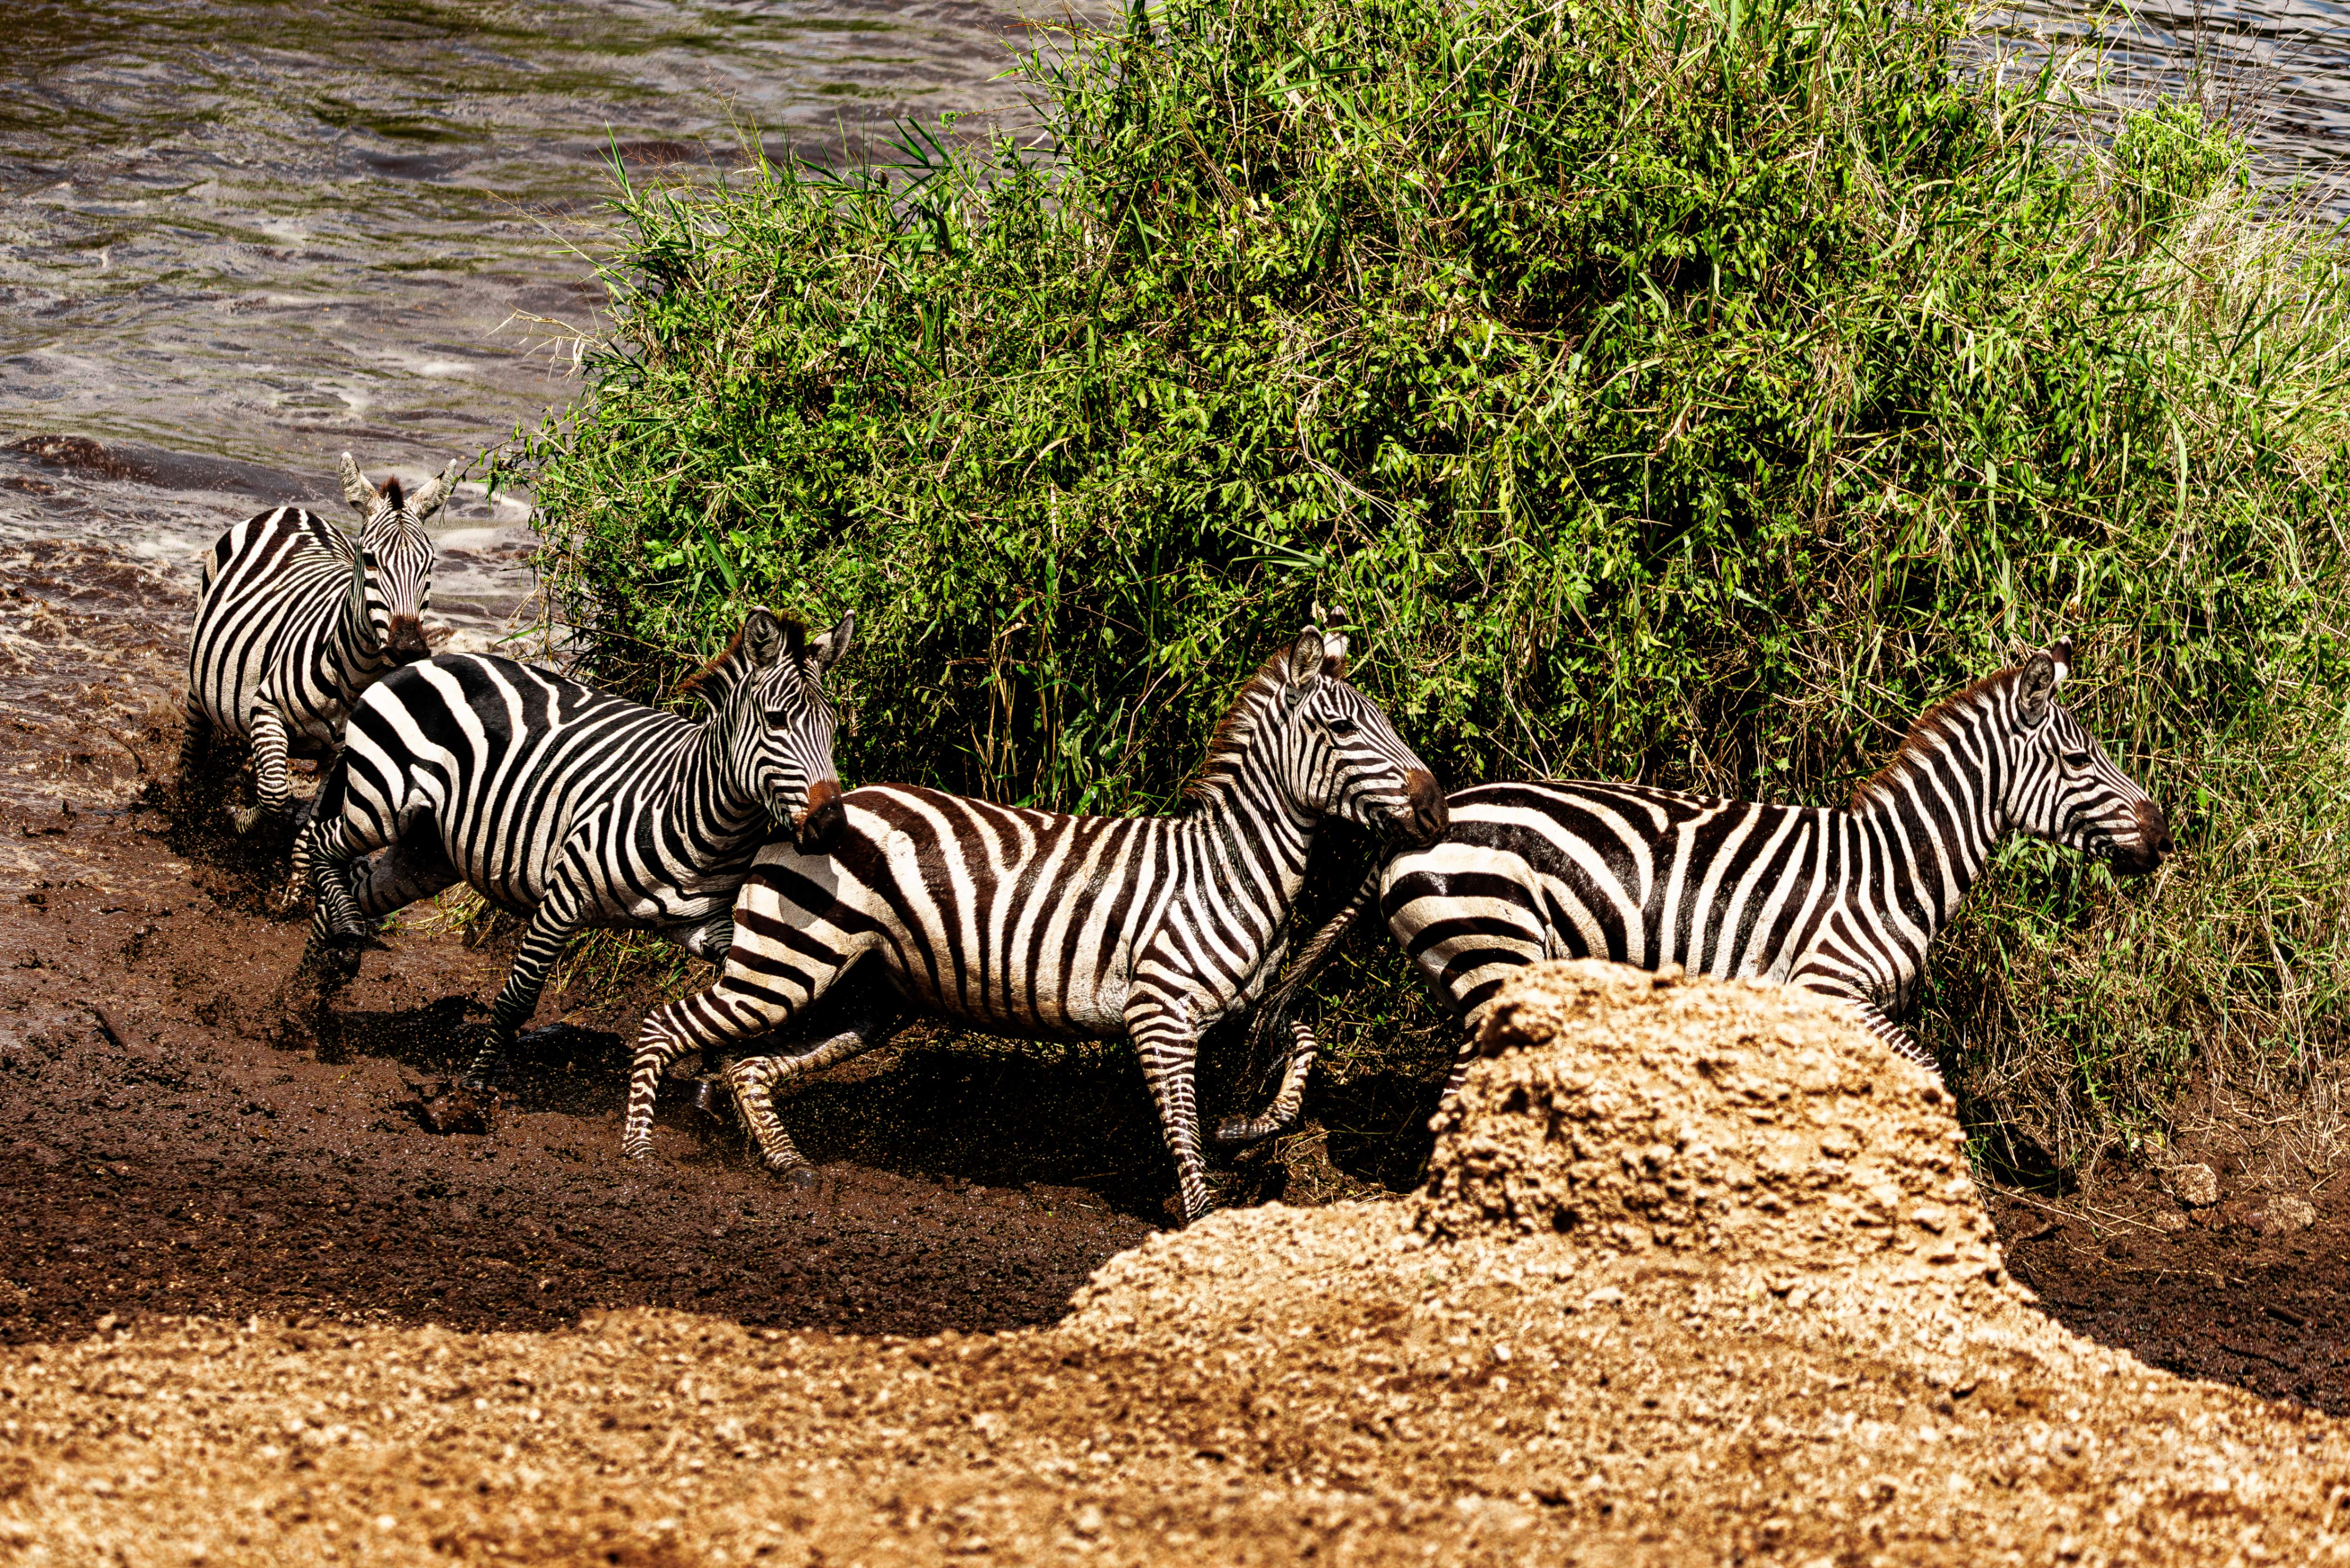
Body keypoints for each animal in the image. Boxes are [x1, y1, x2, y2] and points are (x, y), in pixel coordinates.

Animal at [180, 452, 453, 839]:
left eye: (430, 564)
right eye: (370, 559)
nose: (409, 648)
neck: (354, 674)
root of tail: (291, 510)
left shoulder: (338, 754)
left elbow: (314, 822)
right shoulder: (265, 708)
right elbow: (274, 794)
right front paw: (236, 818)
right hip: (199, 676)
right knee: (194, 742)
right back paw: (187, 808)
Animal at [283, 608, 854, 1089]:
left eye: (833, 729)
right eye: (776, 721)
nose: (830, 826)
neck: (701, 815)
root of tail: (429, 659)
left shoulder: (703, 924)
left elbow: (742, 982)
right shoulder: (563, 898)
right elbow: (516, 999)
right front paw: (471, 1091)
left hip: (428, 854)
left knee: (357, 887)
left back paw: (303, 996)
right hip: (381, 801)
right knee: (321, 845)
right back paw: (339, 947)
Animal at [620, 622, 1448, 1224]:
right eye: (1342, 729)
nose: (1437, 809)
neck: (1226, 866)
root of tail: (803, 814)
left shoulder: (1237, 1005)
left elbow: (1302, 1043)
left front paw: (1248, 1127)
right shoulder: (1159, 1012)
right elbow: (1178, 1126)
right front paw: (1201, 1216)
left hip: (866, 995)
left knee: (748, 1067)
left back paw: (789, 1167)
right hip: (785, 966)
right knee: (663, 1027)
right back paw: (636, 1164)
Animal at [1218, 638, 2173, 1143]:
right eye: (2079, 759)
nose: (2163, 837)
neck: (1893, 865)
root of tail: (1417, 824)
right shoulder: (1830, 988)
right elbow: (1925, 1073)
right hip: (1493, 951)